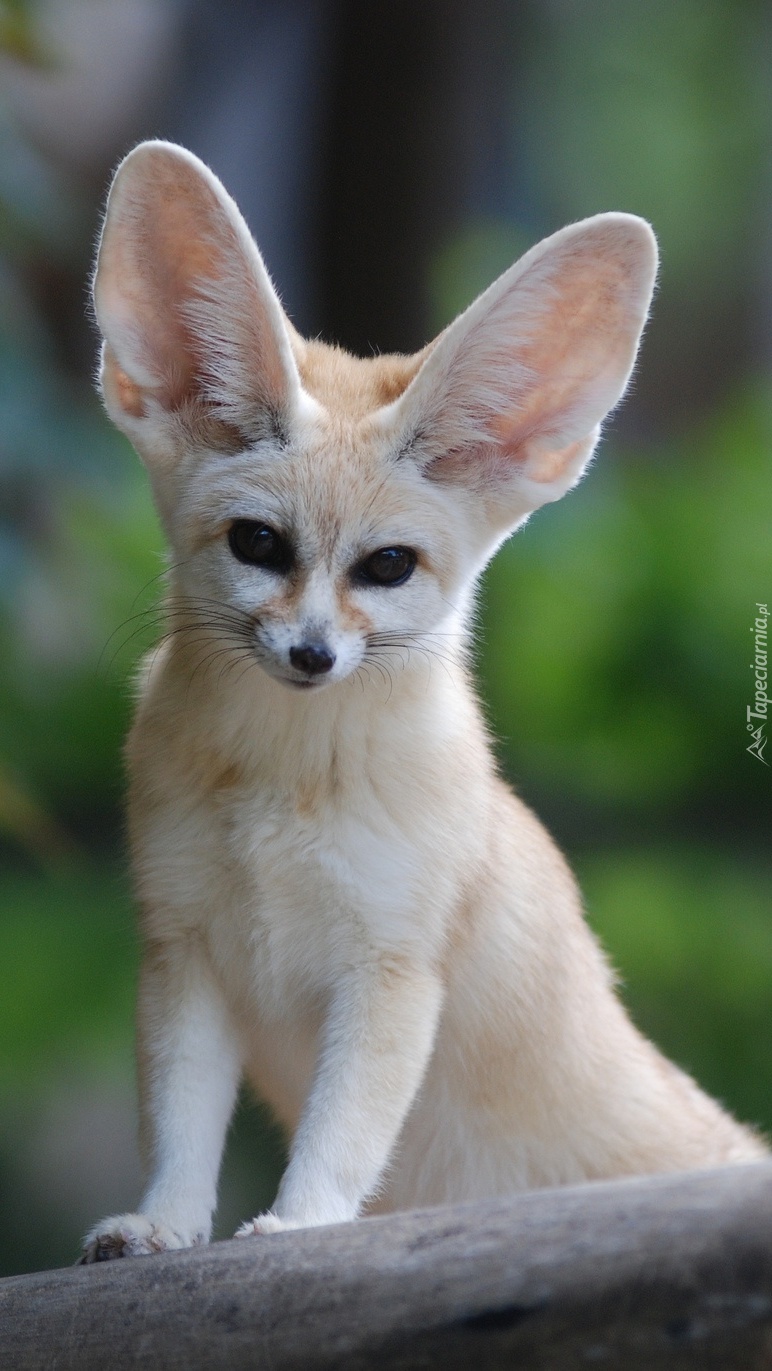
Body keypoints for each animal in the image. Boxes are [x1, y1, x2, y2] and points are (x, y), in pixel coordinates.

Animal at [81, 141, 762, 1261]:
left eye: (388, 566)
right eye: (258, 544)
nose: (312, 654)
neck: (282, 792)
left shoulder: (392, 971)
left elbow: (345, 1129)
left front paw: (298, 1225)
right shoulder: (184, 955)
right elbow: (179, 1126)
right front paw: (162, 1226)